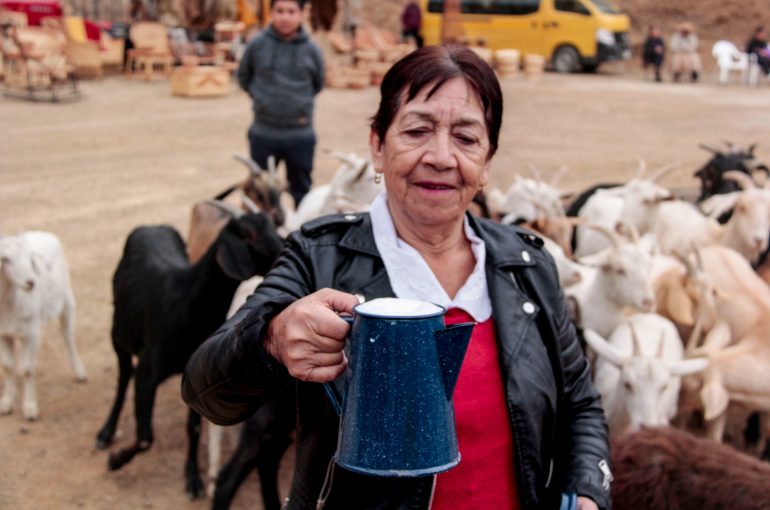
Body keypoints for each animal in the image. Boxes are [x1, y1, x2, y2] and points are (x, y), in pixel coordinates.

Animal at [0, 233, 87, 420]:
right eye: (5, 259)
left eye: (30, 259)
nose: (30, 282)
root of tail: (42, 233)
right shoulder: (3, 334)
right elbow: (8, 366)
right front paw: (6, 404)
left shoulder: (31, 333)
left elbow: (28, 369)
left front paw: (30, 409)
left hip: (67, 299)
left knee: (68, 334)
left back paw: (80, 373)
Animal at [94, 211, 282, 498]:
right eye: (248, 234)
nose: (284, 250)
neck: (188, 305)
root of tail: (149, 226)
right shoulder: (148, 372)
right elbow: (145, 436)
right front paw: (117, 460)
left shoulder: (195, 376)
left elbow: (193, 428)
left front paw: (193, 479)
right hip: (118, 335)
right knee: (124, 377)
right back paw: (106, 433)